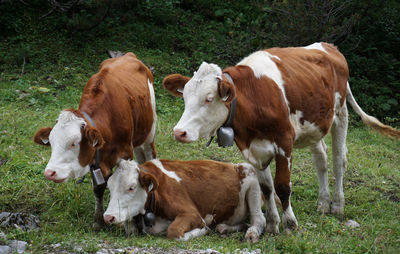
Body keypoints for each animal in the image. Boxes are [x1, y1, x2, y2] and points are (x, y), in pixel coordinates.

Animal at [32, 52, 156, 229]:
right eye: (51, 142)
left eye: (73, 143)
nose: (50, 173)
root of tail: (127, 55)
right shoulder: (95, 159)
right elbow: (99, 188)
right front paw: (98, 220)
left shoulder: (125, 153)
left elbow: (125, 180)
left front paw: (129, 224)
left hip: (150, 130)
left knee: (150, 154)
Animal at [103, 159, 266, 242]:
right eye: (109, 187)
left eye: (131, 187)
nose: (108, 217)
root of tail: (233, 165)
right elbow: (130, 229)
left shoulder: (192, 214)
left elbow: (174, 231)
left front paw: (202, 230)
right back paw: (224, 227)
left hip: (251, 175)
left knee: (259, 219)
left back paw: (252, 234)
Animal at [162, 42, 400, 234]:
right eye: (184, 97)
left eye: (209, 98)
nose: (179, 132)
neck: (254, 99)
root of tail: (329, 46)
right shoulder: (253, 150)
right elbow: (267, 188)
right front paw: (271, 224)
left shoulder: (285, 142)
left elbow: (283, 186)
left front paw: (290, 224)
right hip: (315, 126)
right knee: (321, 161)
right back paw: (323, 203)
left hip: (341, 115)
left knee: (338, 161)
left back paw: (337, 205)